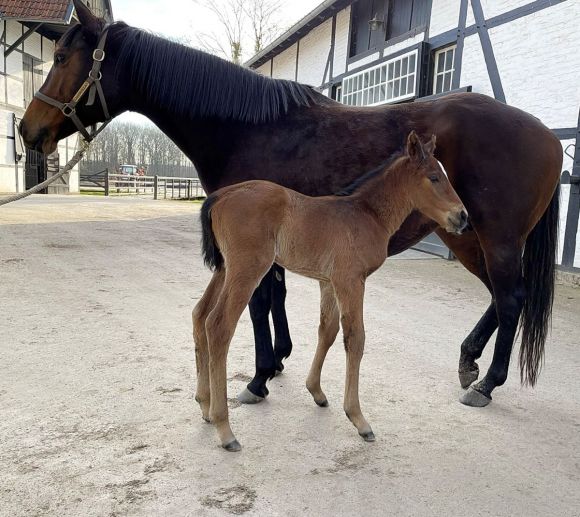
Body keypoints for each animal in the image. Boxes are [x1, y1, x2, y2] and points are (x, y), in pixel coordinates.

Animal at [193, 131, 468, 450]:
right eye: (434, 177)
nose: (463, 217)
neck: (367, 214)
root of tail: (220, 195)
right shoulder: (351, 280)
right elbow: (355, 338)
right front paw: (359, 419)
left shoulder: (329, 281)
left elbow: (328, 331)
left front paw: (317, 391)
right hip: (247, 270)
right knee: (219, 325)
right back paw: (225, 429)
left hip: (225, 269)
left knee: (200, 315)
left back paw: (204, 405)